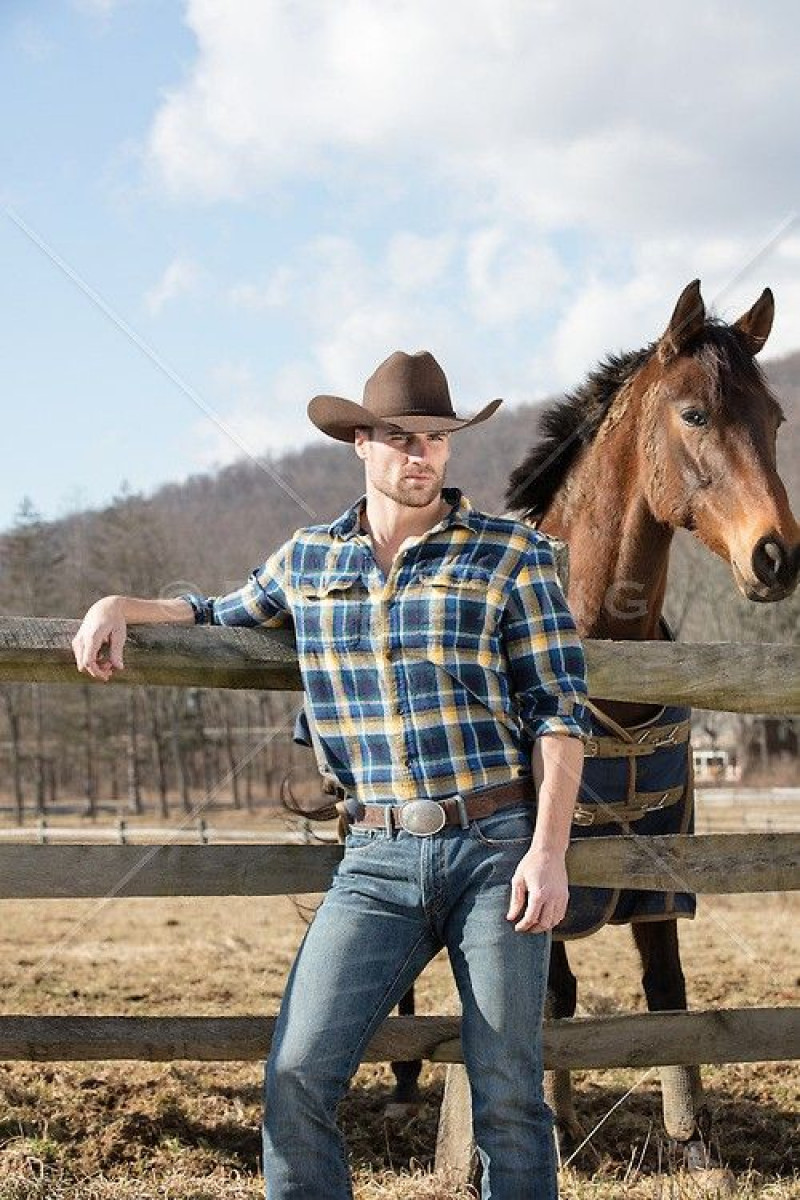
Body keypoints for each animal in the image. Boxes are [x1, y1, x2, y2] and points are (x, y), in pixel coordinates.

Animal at [501, 278, 800, 1161]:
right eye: (695, 414)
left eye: (774, 420)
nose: (777, 554)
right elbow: (548, 997)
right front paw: (552, 1131)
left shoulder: (660, 864)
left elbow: (669, 992)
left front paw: (696, 1144)